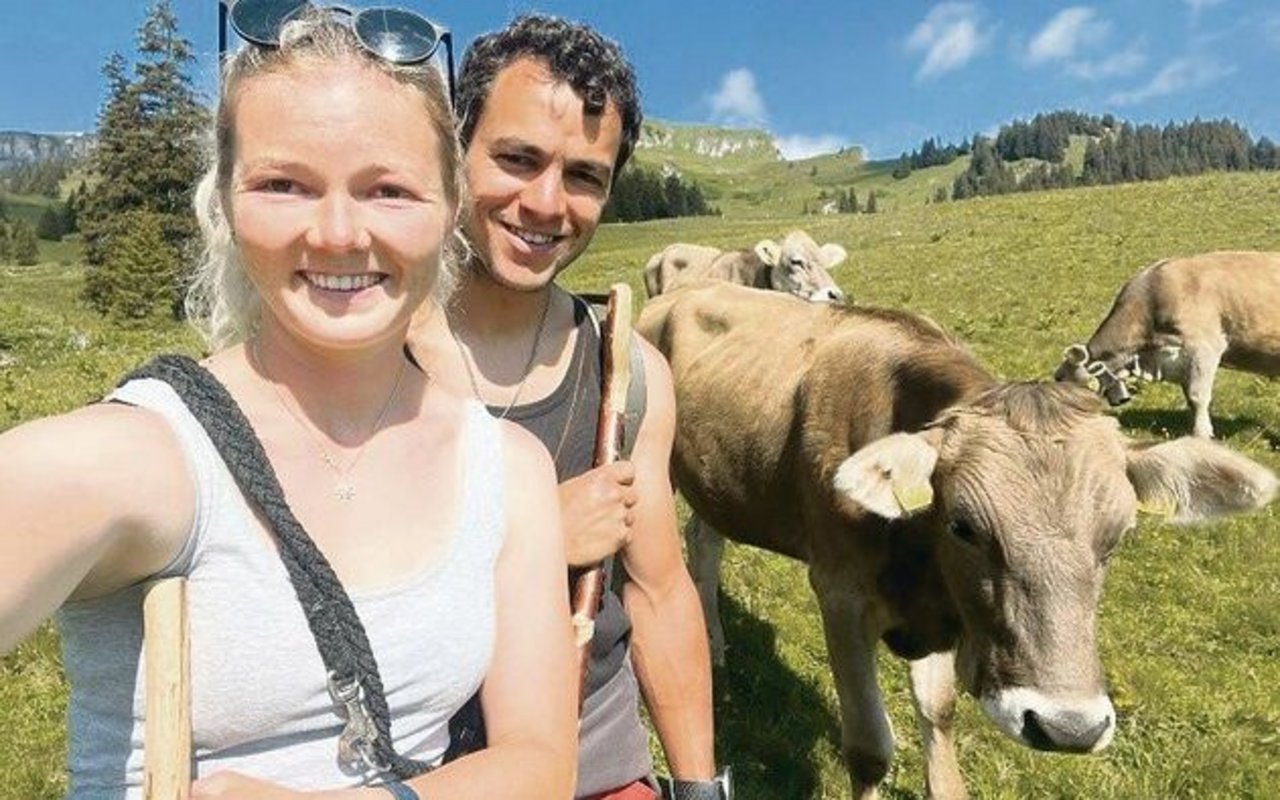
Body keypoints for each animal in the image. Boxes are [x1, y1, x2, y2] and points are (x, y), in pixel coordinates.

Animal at [634, 282, 1274, 798]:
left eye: (1117, 536)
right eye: (964, 526)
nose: (1068, 727)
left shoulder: (947, 604)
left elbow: (938, 710)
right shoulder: (839, 593)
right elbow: (869, 747)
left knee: (704, 541)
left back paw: (714, 643)